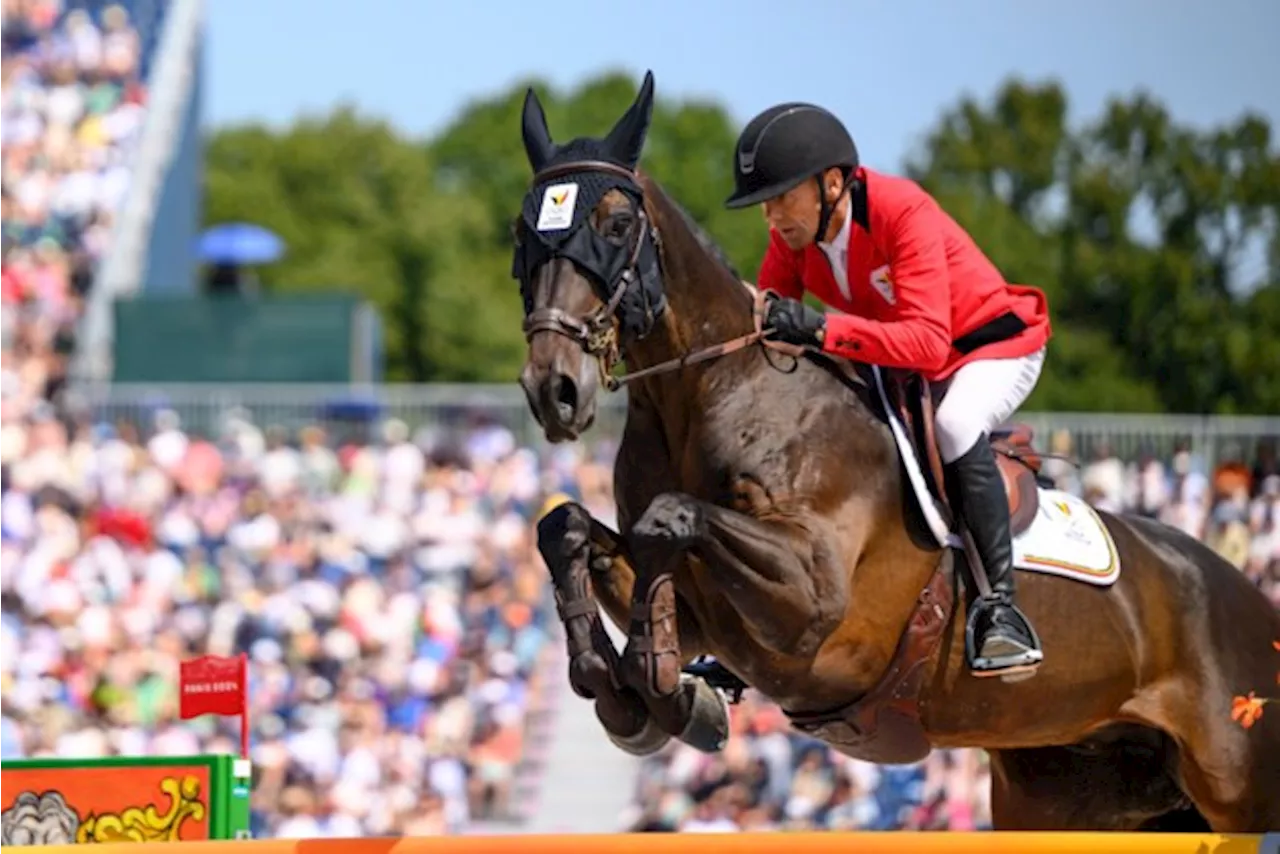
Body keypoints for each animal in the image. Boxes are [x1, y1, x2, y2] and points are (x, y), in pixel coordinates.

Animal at [506, 70, 1280, 829]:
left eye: (615, 225)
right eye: (522, 235)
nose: (554, 390)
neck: (705, 394)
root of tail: (1256, 603)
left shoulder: (813, 601)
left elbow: (668, 518)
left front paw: (658, 688)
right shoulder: (710, 615)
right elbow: (566, 526)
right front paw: (627, 689)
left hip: (1236, 783)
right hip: (1065, 789)